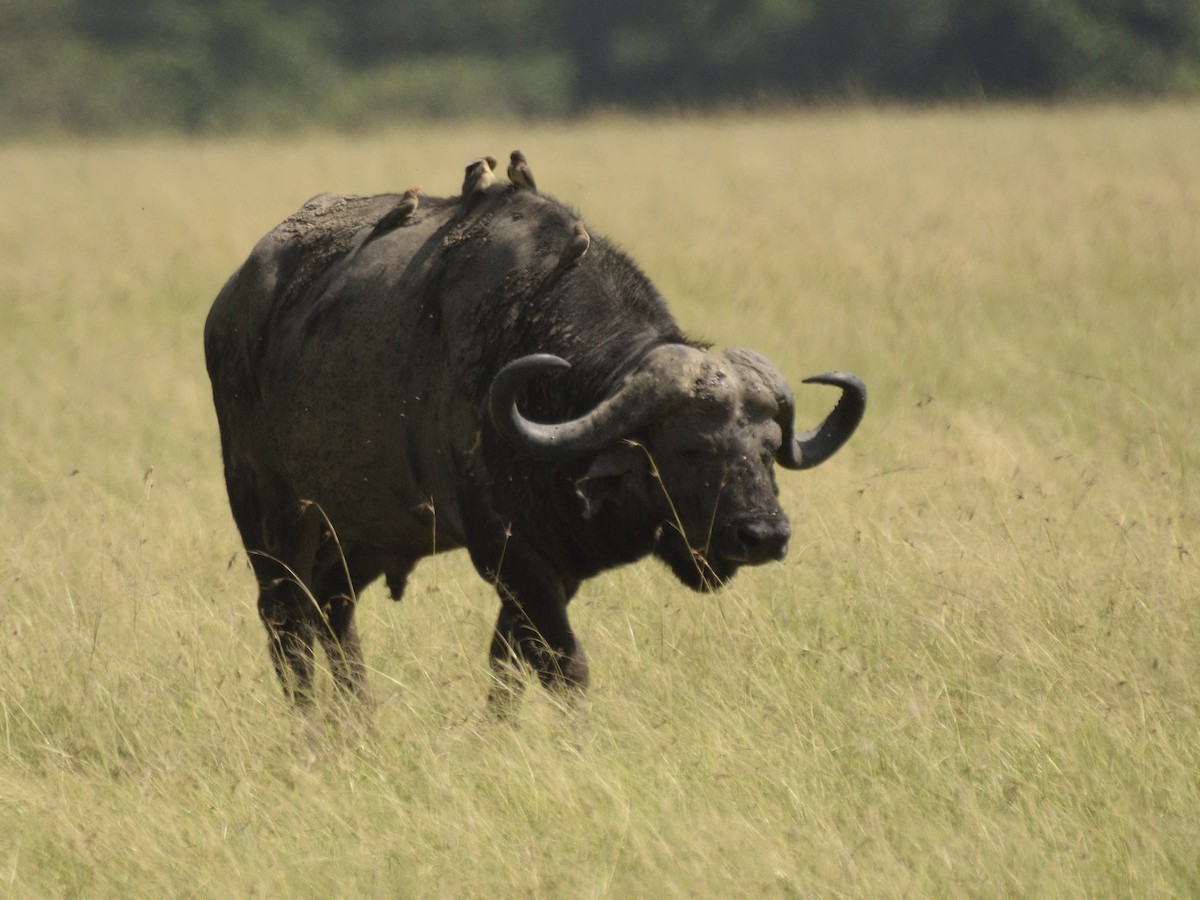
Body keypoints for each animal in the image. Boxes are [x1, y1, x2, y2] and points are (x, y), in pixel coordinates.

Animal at [204, 172, 864, 715]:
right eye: (690, 449)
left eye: (767, 447)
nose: (764, 535)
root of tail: (229, 304)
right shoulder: (509, 555)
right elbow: (563, 664)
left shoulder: (550, 566)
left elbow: (508, 663)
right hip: (269, 515)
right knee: (287, 624)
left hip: (359, 537)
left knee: (332, 615)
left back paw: (358, 720)